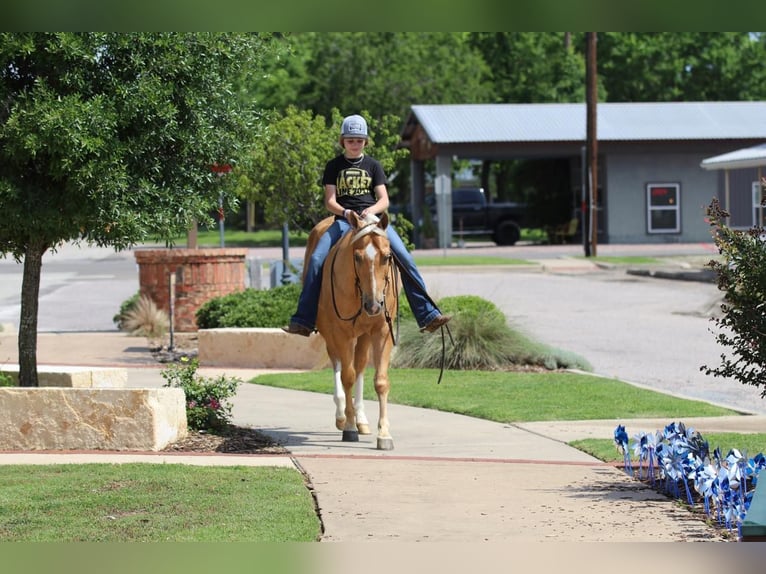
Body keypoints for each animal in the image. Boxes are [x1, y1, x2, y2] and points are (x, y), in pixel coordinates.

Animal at [306, 212, 402, 450]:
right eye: (357, 257)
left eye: (387, 257)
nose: (374, 305)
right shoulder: (342, 332)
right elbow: (346, 377)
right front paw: (349, 427)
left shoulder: (381, 332)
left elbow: (380, 381)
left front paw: (384, 434)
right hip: (330, 332)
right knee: (338, 363)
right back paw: (342, 415)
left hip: (364, 334)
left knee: (359, 365)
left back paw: (361, 419)